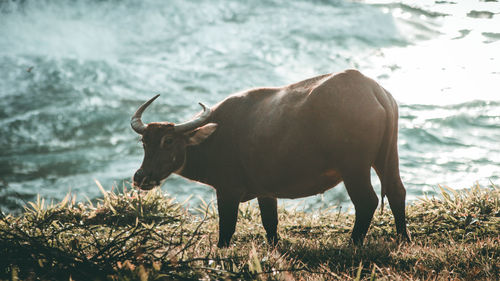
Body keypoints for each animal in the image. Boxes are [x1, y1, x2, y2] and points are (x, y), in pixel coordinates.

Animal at [130, 69, 410, 246]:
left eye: (168, 141)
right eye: (144, 142)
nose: (140, 177)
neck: (215, 138)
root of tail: (373, 89)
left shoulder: (227, 191)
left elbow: (226, 229)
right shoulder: (266, 192)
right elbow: (270, 224)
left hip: (354, 168)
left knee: (367, 201)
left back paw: (352, 242)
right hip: (387, 156)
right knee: (397, 191)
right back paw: (403, 238)